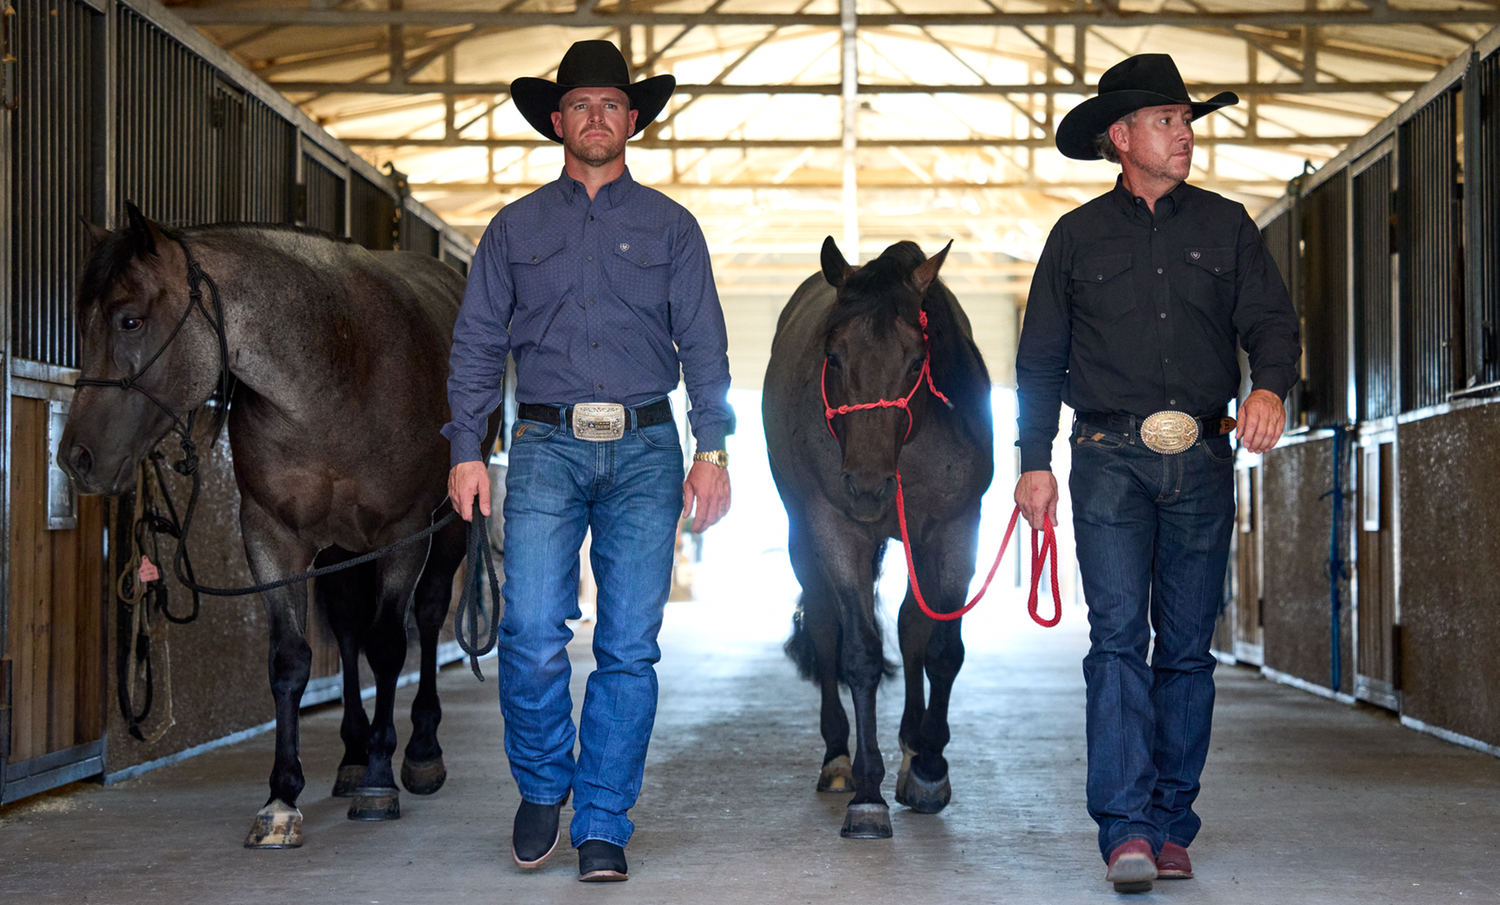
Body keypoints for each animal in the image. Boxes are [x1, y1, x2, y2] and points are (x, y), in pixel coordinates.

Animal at [58, 205, 498, 852]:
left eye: (130, 320)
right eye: (82, 326)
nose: (76, 460)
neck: (339, 373)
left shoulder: (402, 531)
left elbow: (389, 646)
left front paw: (380, 781)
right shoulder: (270, 533)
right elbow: (291, 658)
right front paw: (282, 798)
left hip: (444, 529)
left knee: (428, 612)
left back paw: (418, 753)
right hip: (339, 545)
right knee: (346, 626)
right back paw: (350, 756)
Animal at [762, 237, 996, 840]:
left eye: (917, 361)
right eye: (833, 356)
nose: (867, 487)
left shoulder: (956, 527)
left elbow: (941, 647)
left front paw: (929, 766)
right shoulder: (836, 528)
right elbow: (861, 653)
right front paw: (868, 794)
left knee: (912, 626)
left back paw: (913, 746)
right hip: (805, 537)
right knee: (825, 626)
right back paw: (838, 759)